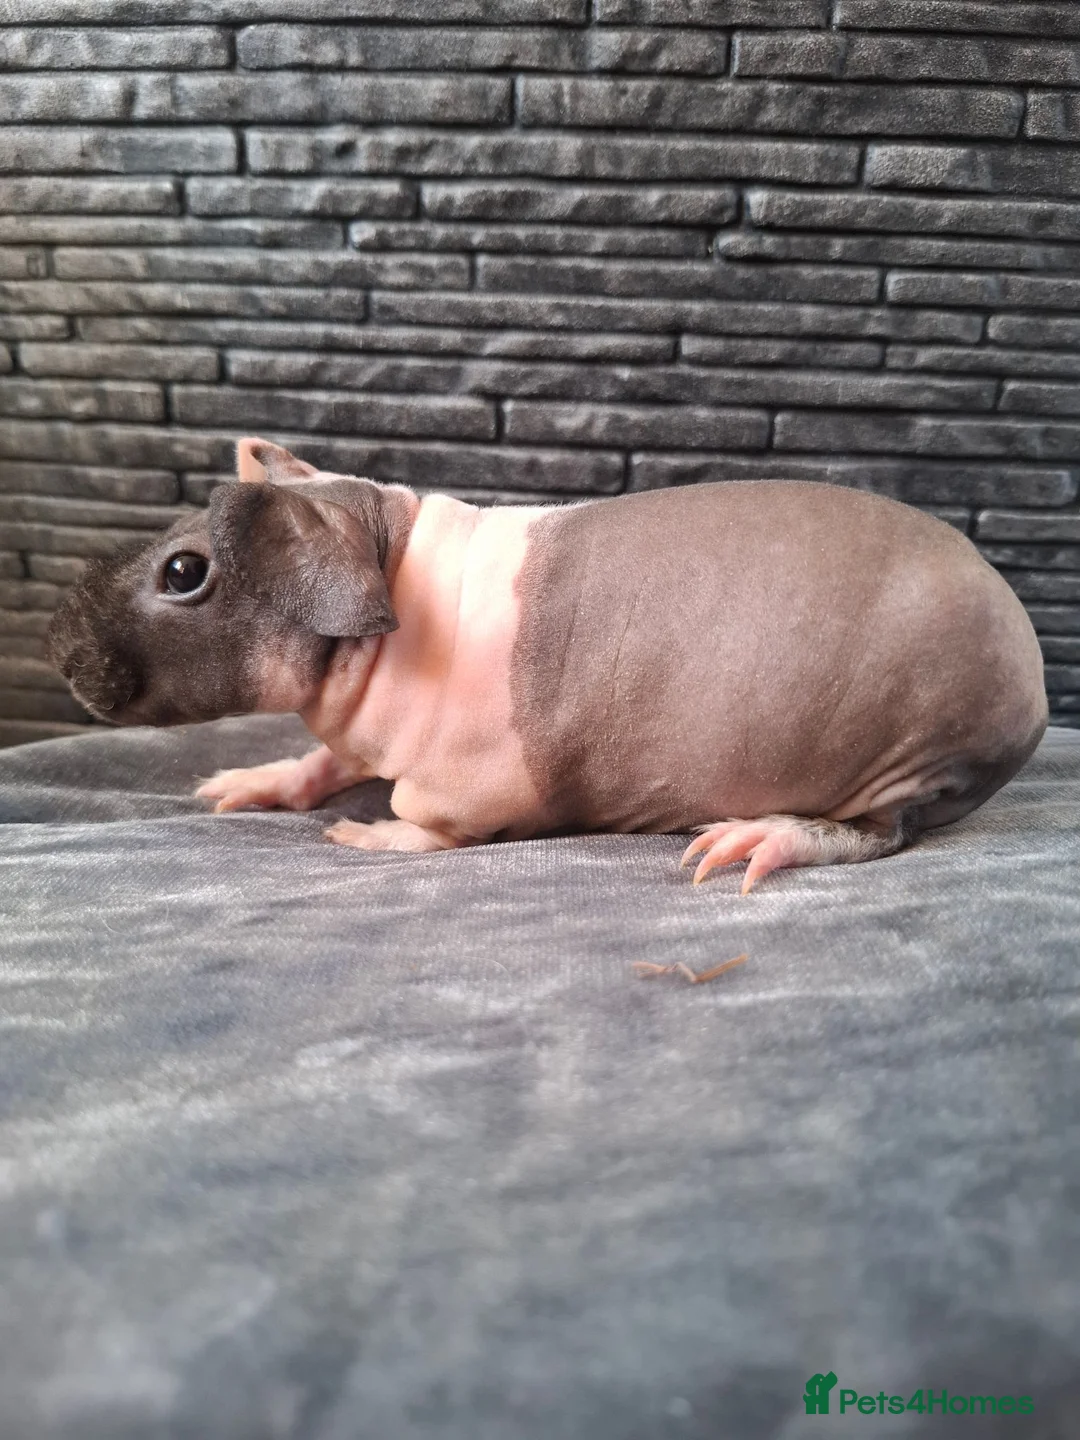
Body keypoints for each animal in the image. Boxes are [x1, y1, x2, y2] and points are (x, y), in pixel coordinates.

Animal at [45, 437, 1048, 892]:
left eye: (183, 573)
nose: (54, 646)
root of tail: (1032, 691)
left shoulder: (473, 784)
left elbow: (428, 821)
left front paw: (366, 834)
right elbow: (325, 761)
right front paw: (248, 781)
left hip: (905, 756)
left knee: (880, 835)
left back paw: (755, 839)